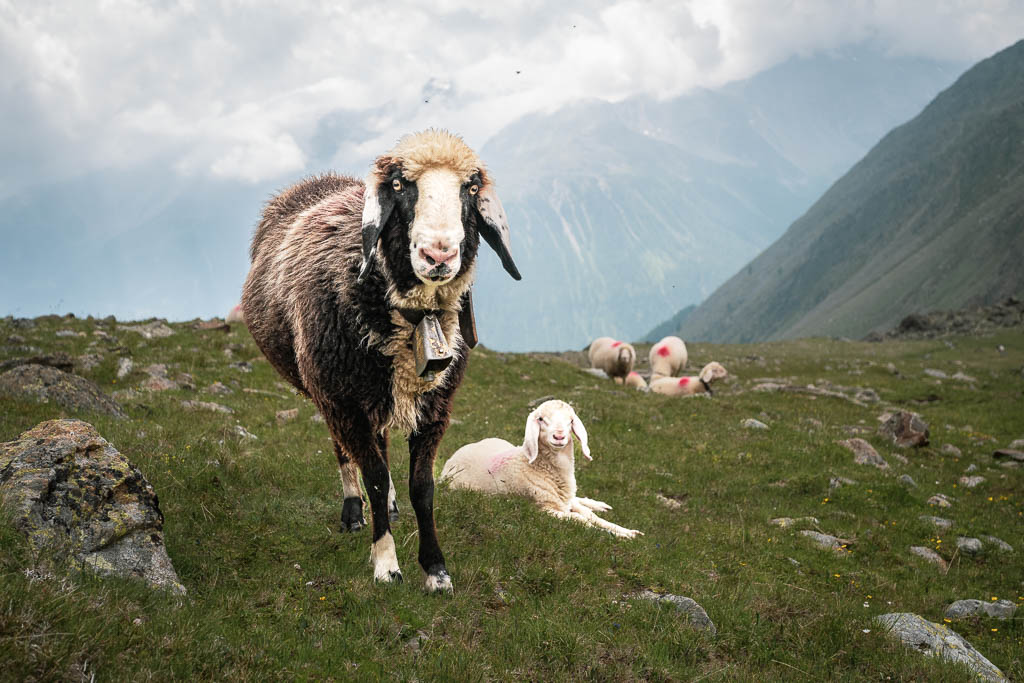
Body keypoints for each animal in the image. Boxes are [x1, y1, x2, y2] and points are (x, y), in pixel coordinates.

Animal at [241, 129, 521, 592]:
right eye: (398, 185)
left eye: (471, 188)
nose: (439, 256)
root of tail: (318, 180)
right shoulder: (343, 402)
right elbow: (372, 475)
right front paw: (386, 563)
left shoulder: (435, 408)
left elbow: (422, 487)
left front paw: (436, 570)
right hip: (329, 391)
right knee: (345, 454)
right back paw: (353, 511)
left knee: (381, 445)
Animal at [440, 400, 642, 539]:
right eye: (541, 419)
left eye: (570, 421)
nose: (559, 436)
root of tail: (456, 453)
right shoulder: (543, 509)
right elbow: (581, 519)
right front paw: (617, 535)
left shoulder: (563, 501)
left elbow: (590, 515)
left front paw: (626, 531)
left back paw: (600, 505)